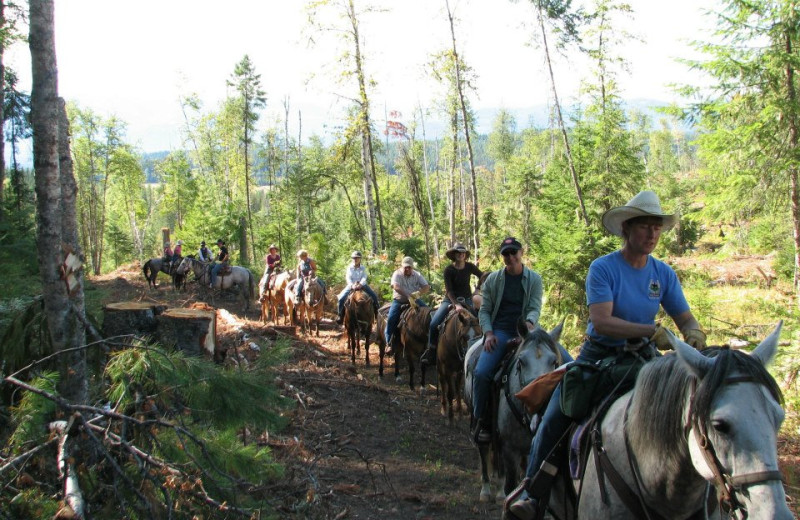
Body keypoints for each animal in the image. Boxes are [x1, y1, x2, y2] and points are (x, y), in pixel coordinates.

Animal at [466, 324, 564, 504]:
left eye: (554, 361)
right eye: (521, 361)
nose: (536, 402)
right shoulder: (511, 448)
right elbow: (511, 484)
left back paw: (499, 491)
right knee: (484, 450)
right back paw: (486, 490)